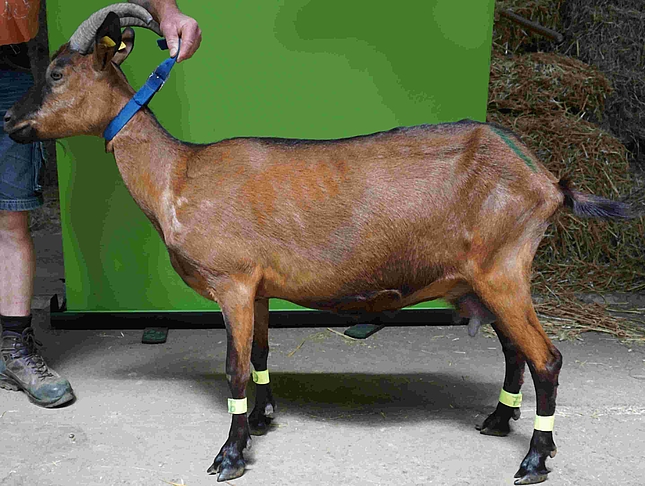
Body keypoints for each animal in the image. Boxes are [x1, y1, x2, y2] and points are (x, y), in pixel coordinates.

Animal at [3, 5, 636, 484]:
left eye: (57, 72)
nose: (9, 119)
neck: (179, 176)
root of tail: (548, 180)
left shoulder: (233, 284)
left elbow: (234, 369)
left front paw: (229, 455)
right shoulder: (258, 289)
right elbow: (260, 356)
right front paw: (262, 421)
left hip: (504, 271)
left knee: (547, 359)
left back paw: (533, 460)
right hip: (482, 280)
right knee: (514, 352)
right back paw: (498, 423)